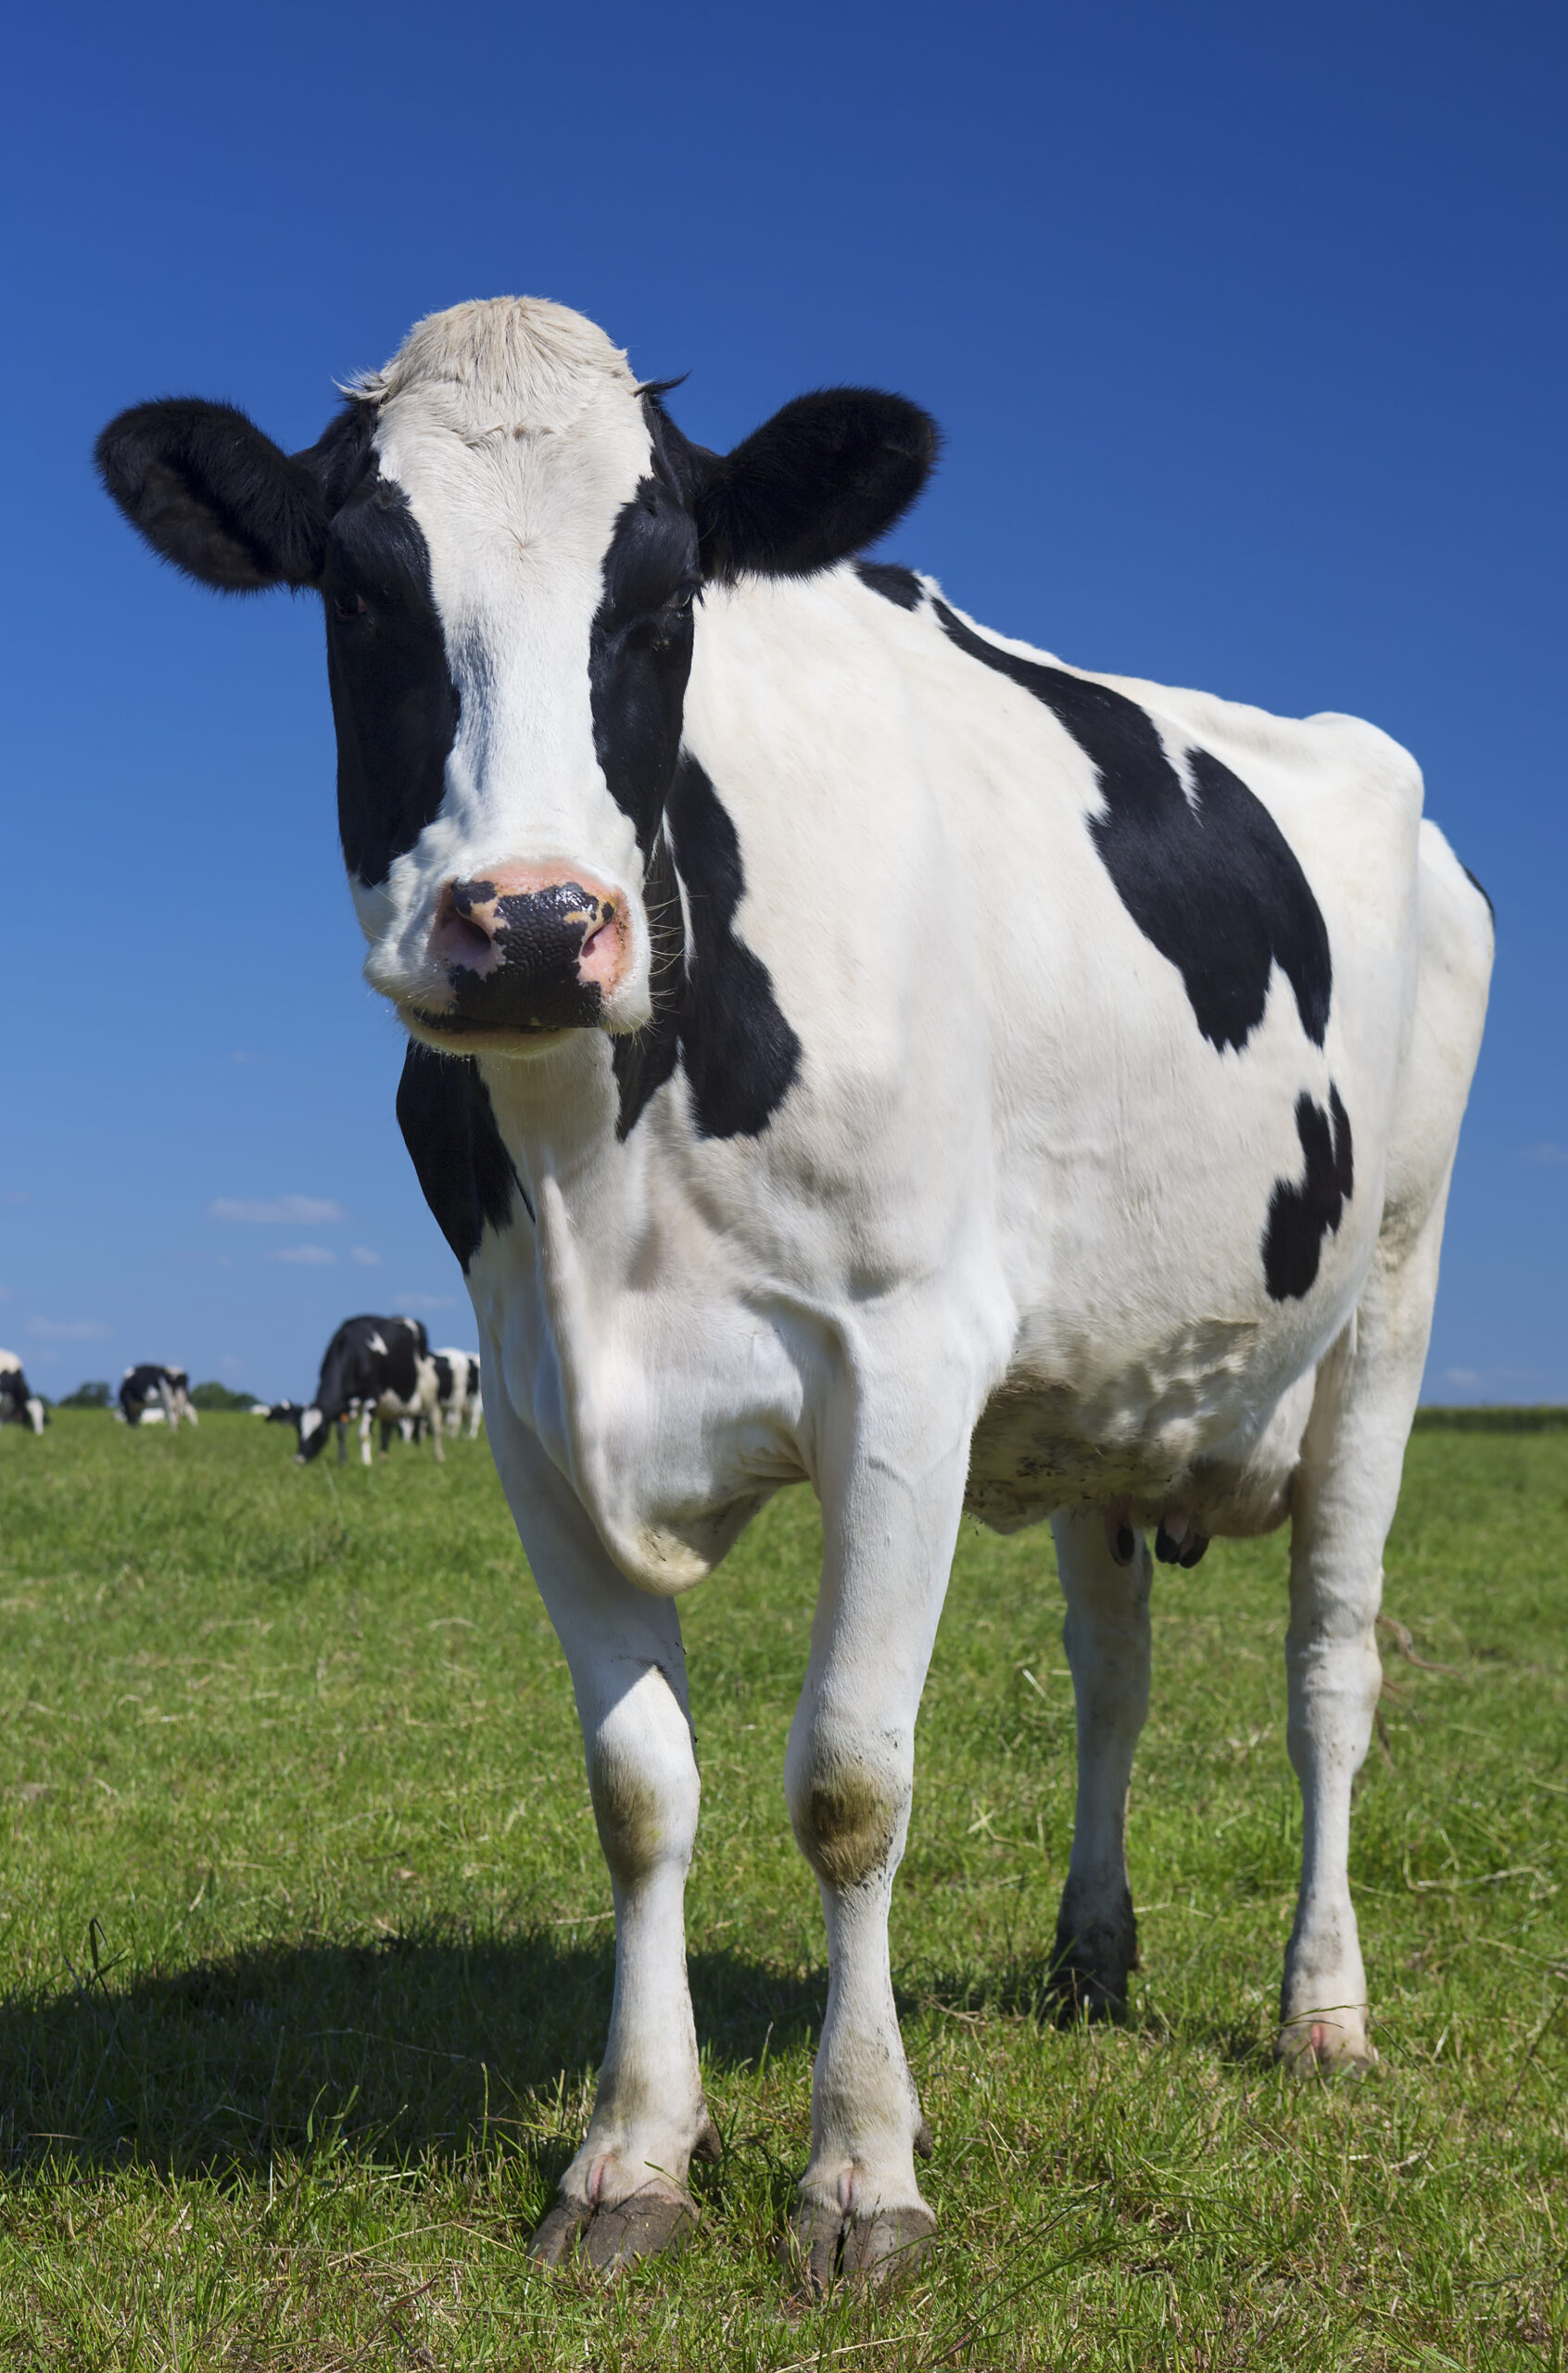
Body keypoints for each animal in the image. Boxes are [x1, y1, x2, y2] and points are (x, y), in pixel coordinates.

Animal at [295, 1314, 444, 1467]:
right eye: (299, 1430)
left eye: (318, 1433)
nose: (299, 1459)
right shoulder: (342, 1406)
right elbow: (341, 1435)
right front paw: (342, 1463)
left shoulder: (372, 1396)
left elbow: (364, 1434)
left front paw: (366, 1463)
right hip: (389, 1404)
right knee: (386, 1429)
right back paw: (383, 1458)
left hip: (429, 1394)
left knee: (435, 1425)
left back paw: (439, 1456)